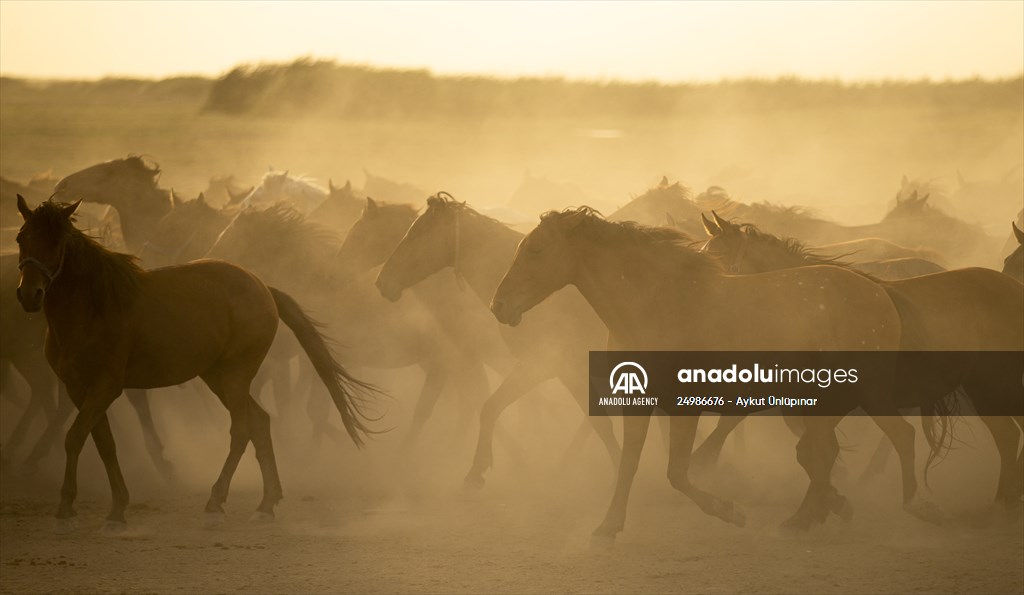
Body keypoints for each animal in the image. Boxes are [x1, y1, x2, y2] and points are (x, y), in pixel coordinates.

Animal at [14, 196, 376, 532]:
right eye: (21, 238)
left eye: (57, 242)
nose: (29, 294)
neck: (93, 306)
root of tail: (262, 286)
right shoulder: (79, 388)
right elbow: (102, 442)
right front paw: (116, 509)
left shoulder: (106, 386)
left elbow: (75, 437)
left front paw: (66, 511)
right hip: (215, 376)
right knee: (259, 423)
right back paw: (266, 504)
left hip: (234, 375)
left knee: (242, 429)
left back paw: (215, 503)